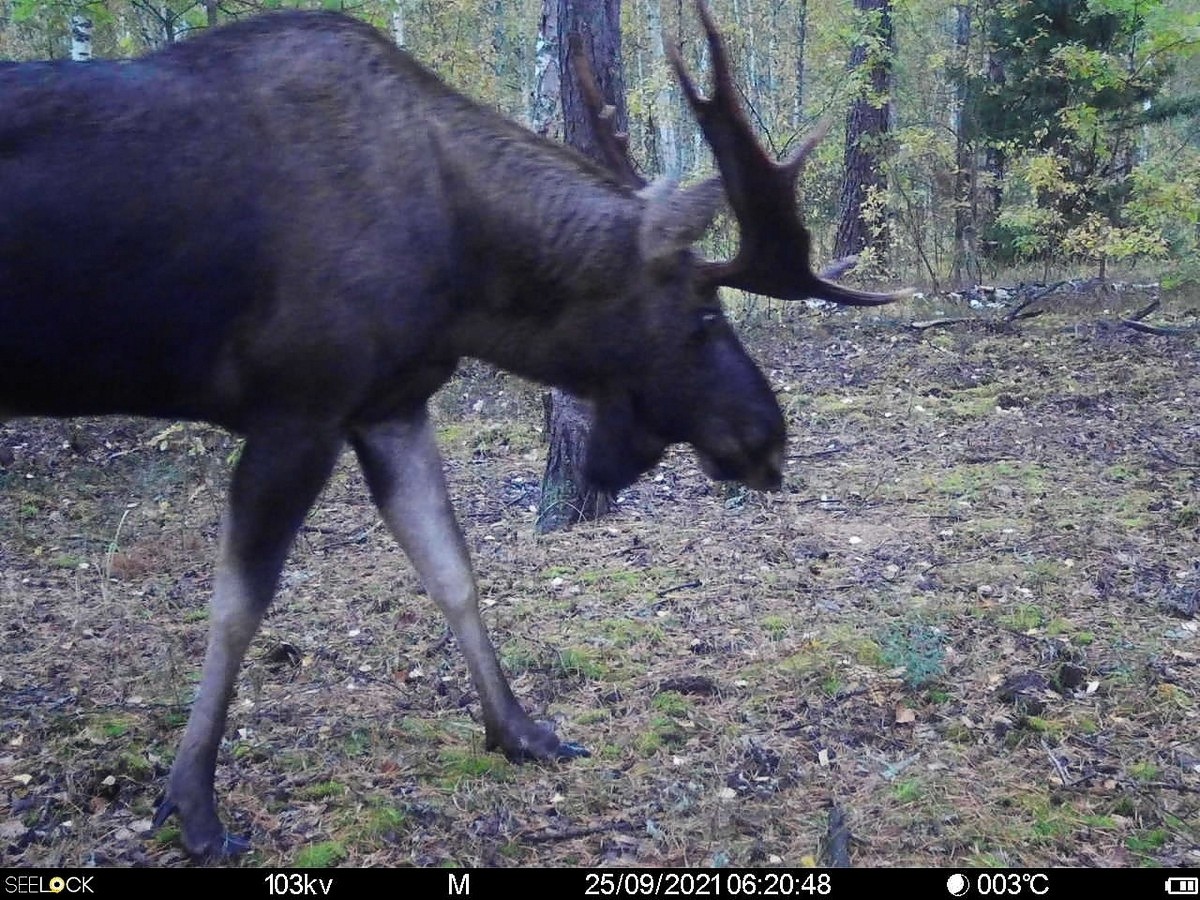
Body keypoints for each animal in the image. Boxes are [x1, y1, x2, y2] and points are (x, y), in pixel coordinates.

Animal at [0, 0, 902, 864]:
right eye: (704, 316)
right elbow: (234, 608)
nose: (769, 436)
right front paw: (192, 804)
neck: (464, 283)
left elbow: (453, 570)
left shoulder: (388, 405)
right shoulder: (298, 408)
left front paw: (522, 731)